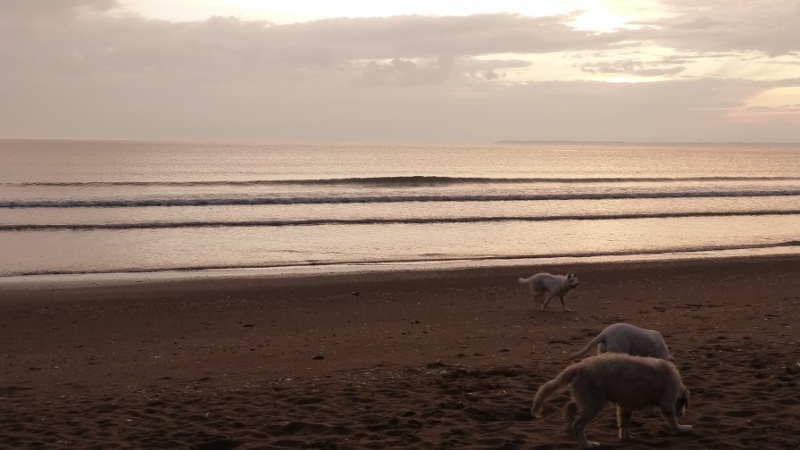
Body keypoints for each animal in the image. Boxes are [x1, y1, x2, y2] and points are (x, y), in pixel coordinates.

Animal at [532, 356, 688, 446]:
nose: (682, 414)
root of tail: (577, 367)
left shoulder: (625, 405)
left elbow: (624, 423)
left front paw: (626, 436)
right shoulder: (667, 403)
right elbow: (672, 420)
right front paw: (681, 428)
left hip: (584, 397)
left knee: (569, 407)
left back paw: (569, 428)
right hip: (594, 402)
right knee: (578, 425)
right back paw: (587, 444)